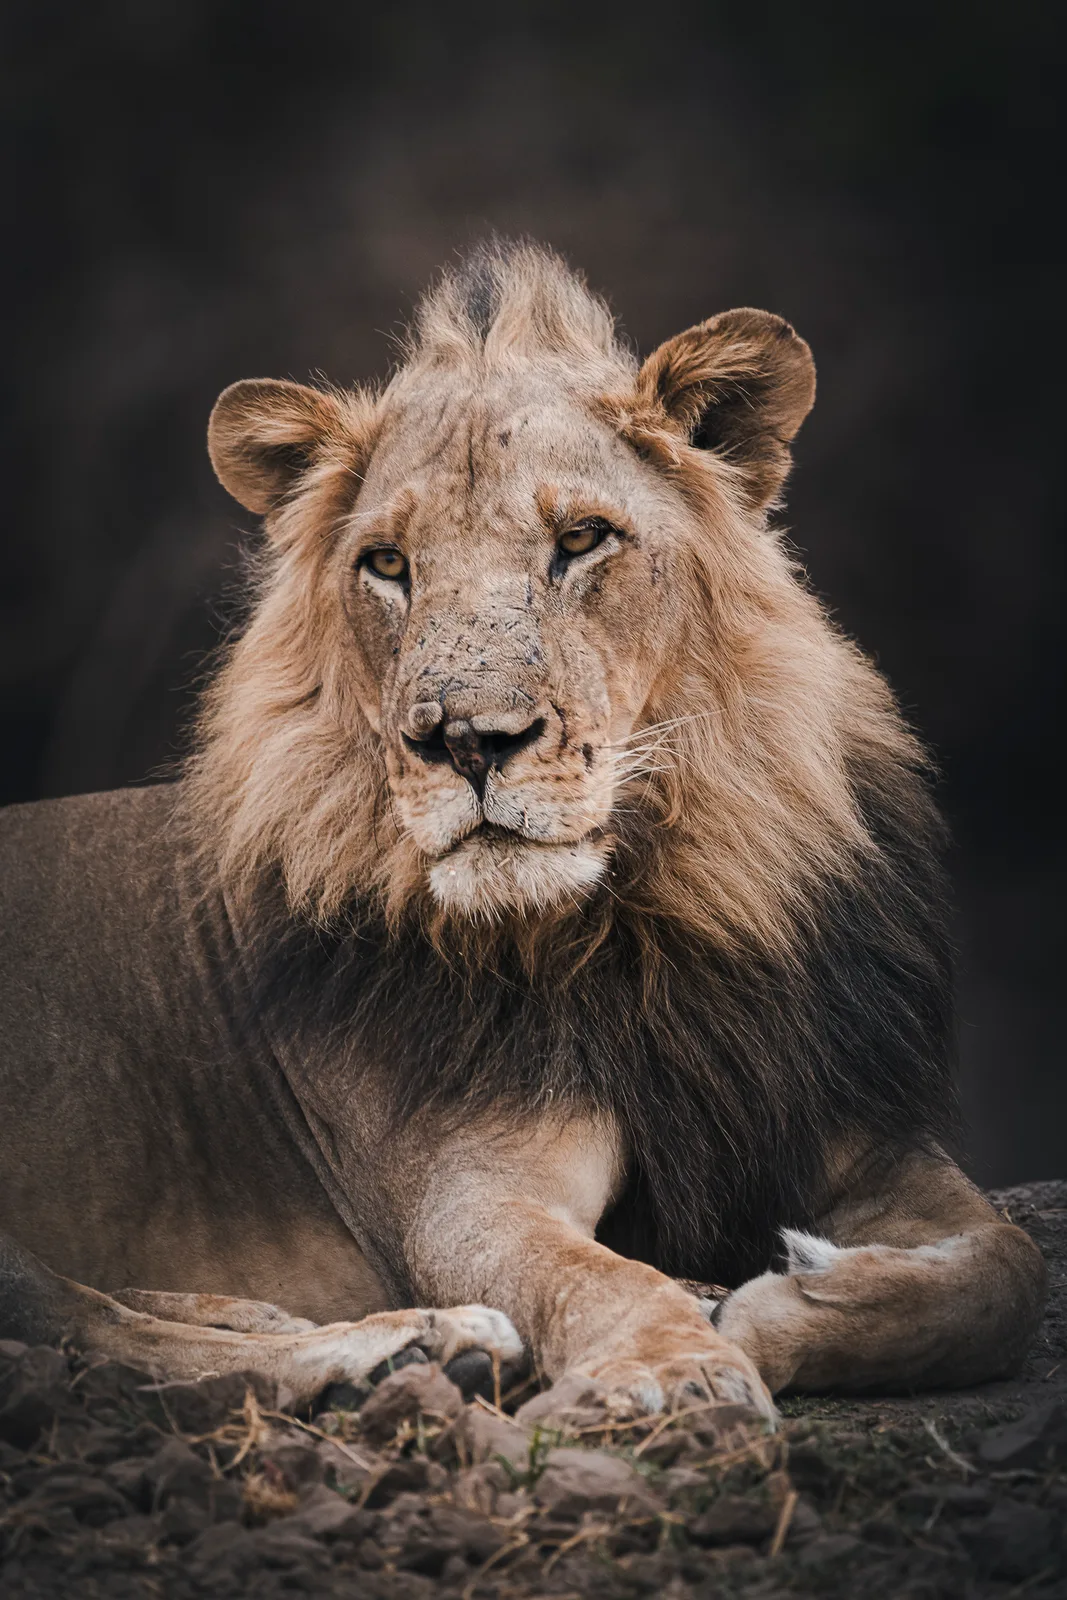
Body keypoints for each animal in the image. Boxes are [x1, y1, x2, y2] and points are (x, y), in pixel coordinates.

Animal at [0, 241, 1046, 1422]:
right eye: (387, 564)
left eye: (580, 540)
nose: (466, 740)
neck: (641, 921)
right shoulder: (467, 1191)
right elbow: (594, 1278)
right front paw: (678, 1366)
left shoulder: (855, 1134)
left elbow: (1004, 1270)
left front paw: (775, 1302)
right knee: (81, 1337)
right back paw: (409, 1351)